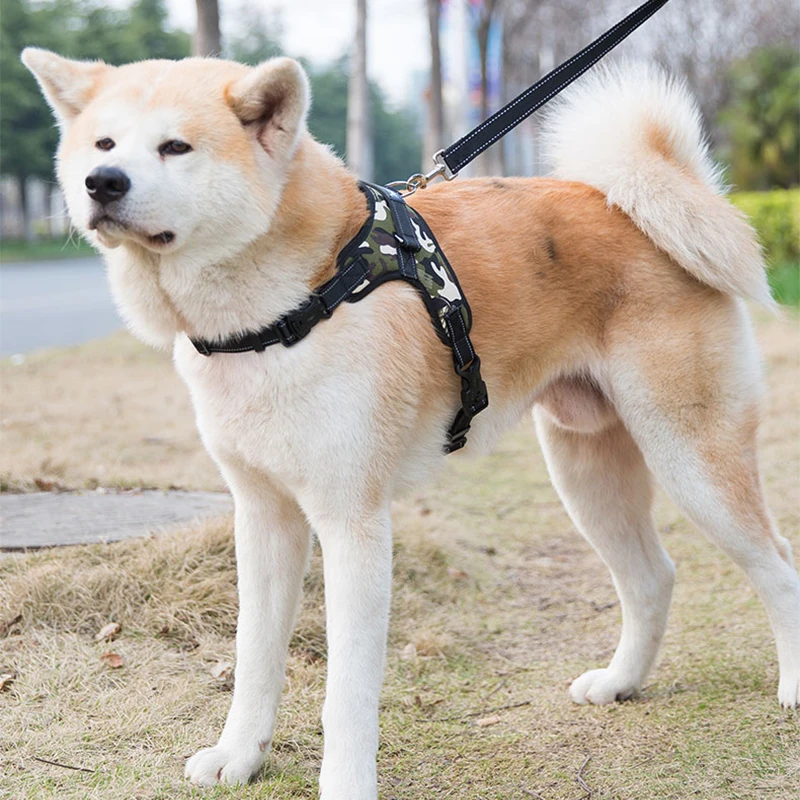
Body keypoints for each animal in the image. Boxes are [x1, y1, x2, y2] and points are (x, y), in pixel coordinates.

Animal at [23, 48, 800, 799]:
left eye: (176, 147)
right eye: (104, 143)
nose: (101, 182)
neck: (298, 301)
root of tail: (631, 202)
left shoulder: (352, 525)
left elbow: (346, 694)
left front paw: (343, 785)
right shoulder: (264, 517)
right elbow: (254, 656)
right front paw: (240, 756)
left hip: (689, 458)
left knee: (776, 563)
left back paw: (791, 684)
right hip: (585, 472)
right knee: (652, 577)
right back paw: (621, 682)